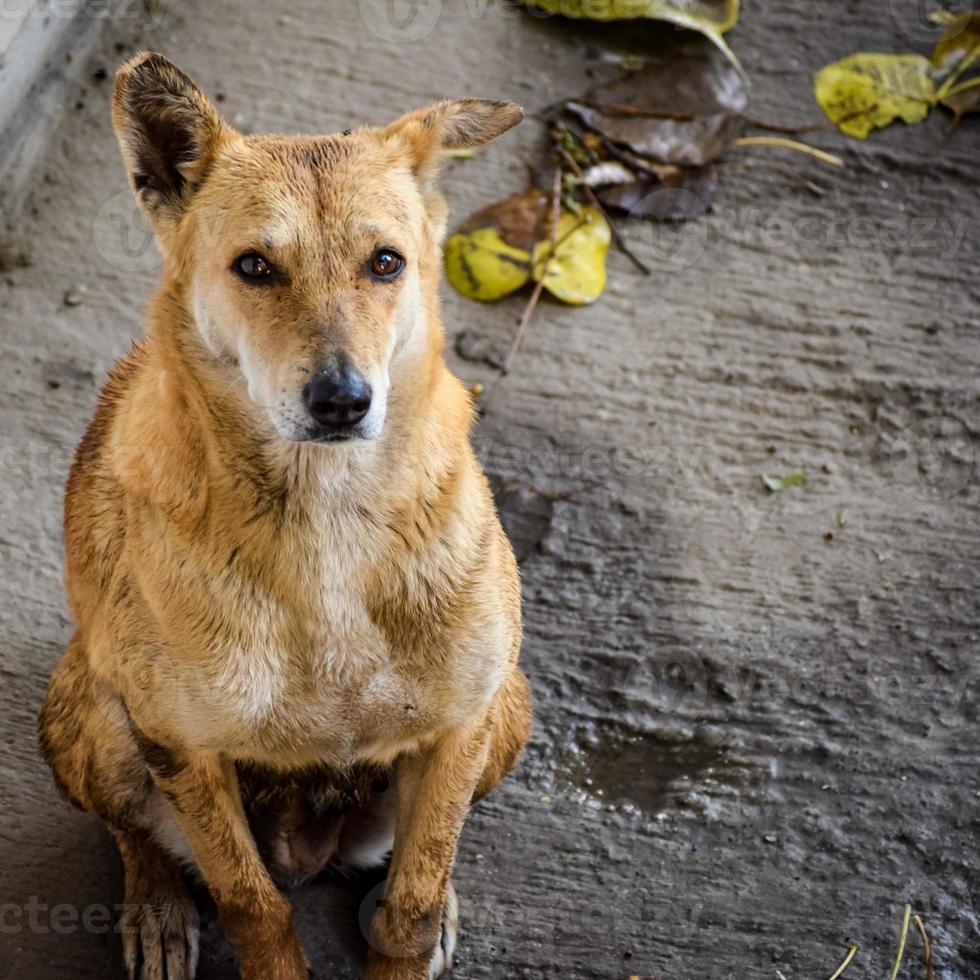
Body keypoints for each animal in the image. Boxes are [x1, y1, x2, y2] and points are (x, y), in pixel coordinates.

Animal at [38, 51, 532, 980]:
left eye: (386, 263)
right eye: (255, 267)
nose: (341, 400)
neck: (328, 515)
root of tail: (311, 848)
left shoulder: (460, 724)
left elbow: (412, 901)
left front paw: (419, 922)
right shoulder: (183, 748)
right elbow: (253, 907)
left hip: (510, 710)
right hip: (94, 720)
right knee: (139, 836)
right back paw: (156, 908)